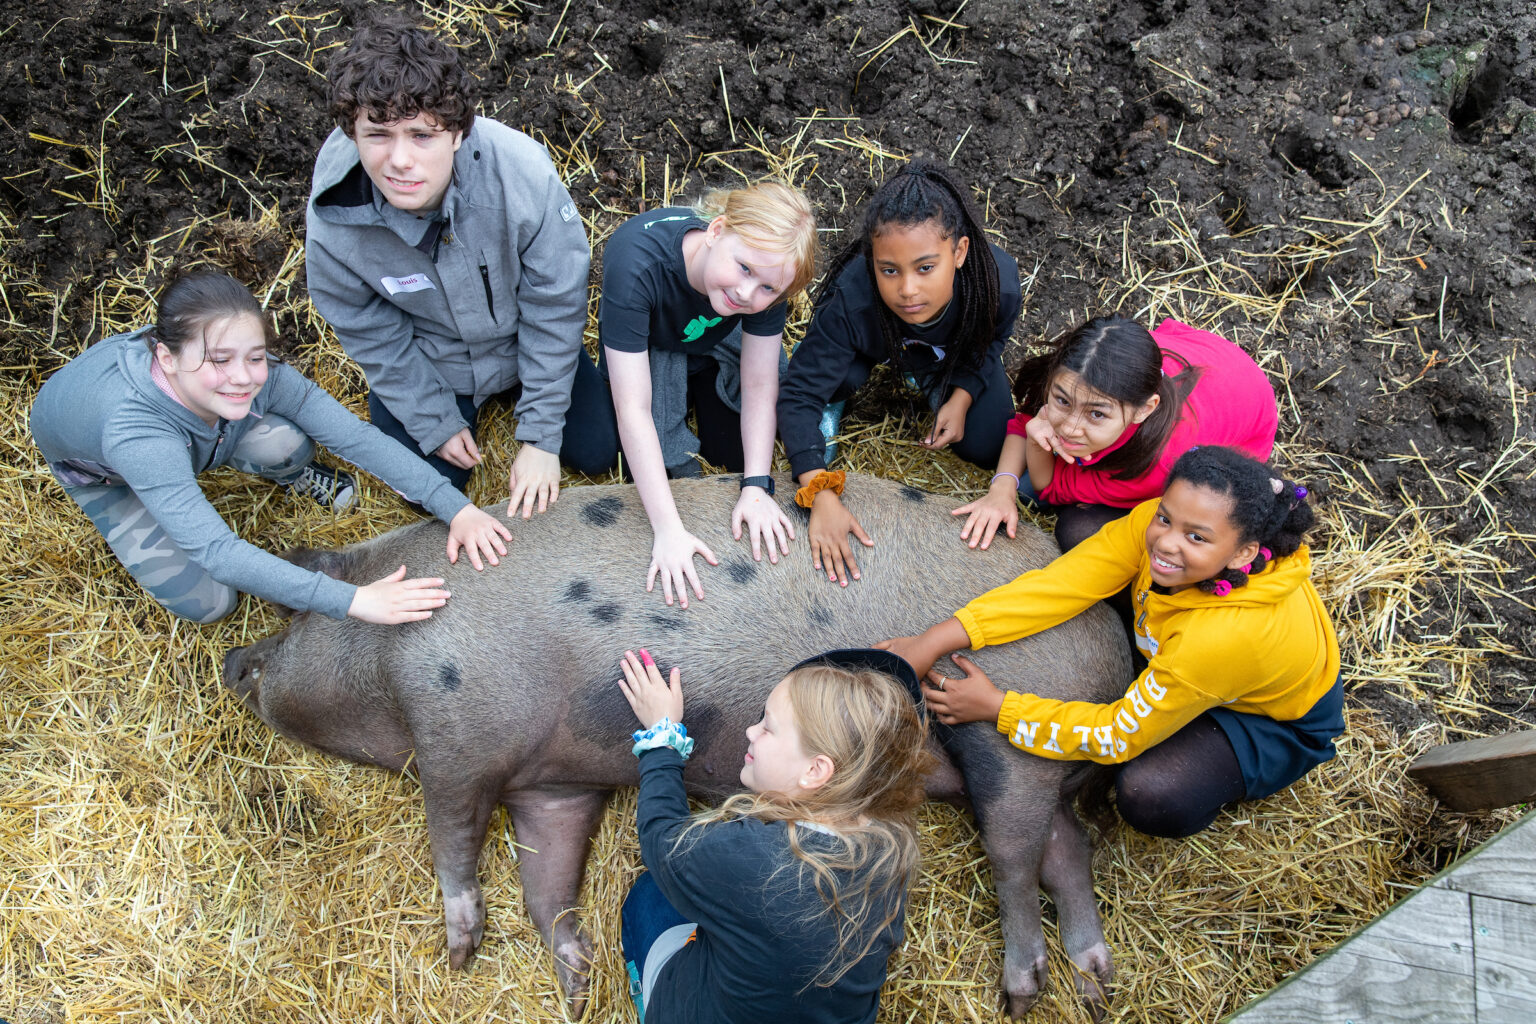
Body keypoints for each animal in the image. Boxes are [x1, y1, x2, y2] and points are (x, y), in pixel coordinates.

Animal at [222, 475, 1136, 1019]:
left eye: (293, 617)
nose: (235, 660)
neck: (390, 655)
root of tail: (1110, 638)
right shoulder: (553, 784)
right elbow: (547, 884)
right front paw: (576, 980)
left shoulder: (456, 731)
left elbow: (451, 838)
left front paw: (458, 952)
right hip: (1028, 764)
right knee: (1068, 846)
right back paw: (1094, 977)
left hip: (1006, 737)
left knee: (1017, 854)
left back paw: (1022, 990)